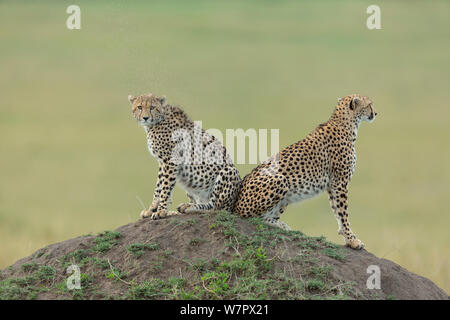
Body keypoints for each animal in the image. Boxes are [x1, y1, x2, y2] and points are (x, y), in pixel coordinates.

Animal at [129, 92, 243, 220]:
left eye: (152, 107)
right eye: (139, 107)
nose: (145, 117)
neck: (158, 120)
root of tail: (232, 204)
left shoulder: (170, 161)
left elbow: (165, 187)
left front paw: (161, 211)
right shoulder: (162, 163)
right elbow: (158, 187)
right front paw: (151, 209)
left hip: (229, 170)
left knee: (215, 208)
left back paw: (191, 208)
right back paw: (183, 208)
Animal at [234, 94, 378, 249]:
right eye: (369, 105)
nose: (376, 113)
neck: (345, 123)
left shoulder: (332, 185)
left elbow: (337, 211)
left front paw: (347, 237)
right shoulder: (340, 182)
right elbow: (343, 213)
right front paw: (352, 240)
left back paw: (281, 225)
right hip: (280, 180)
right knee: (252, 217)